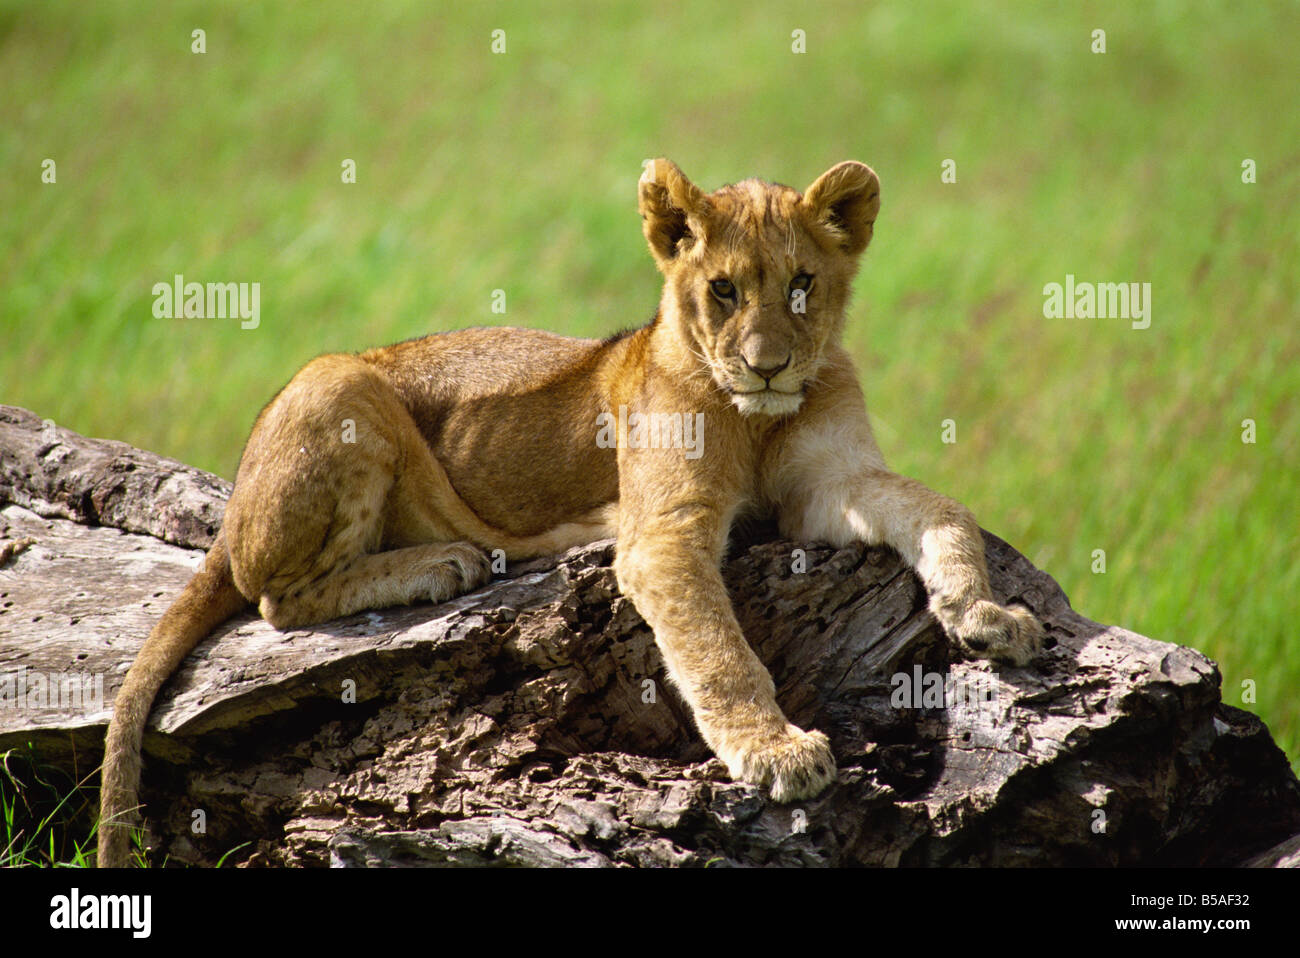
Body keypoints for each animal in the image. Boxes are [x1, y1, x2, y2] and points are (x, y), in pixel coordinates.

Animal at [97, 158, 1043, 867]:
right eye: (725, 291)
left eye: (803, 285)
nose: (769, 365)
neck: (756, 417)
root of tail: (234, 513)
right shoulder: (664, 533)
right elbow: (718, 652)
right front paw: (777, 752)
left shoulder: (827, 483)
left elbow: (942, 508)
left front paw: (987, 613)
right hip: (341, 381)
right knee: (276, 599)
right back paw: (441, 563)